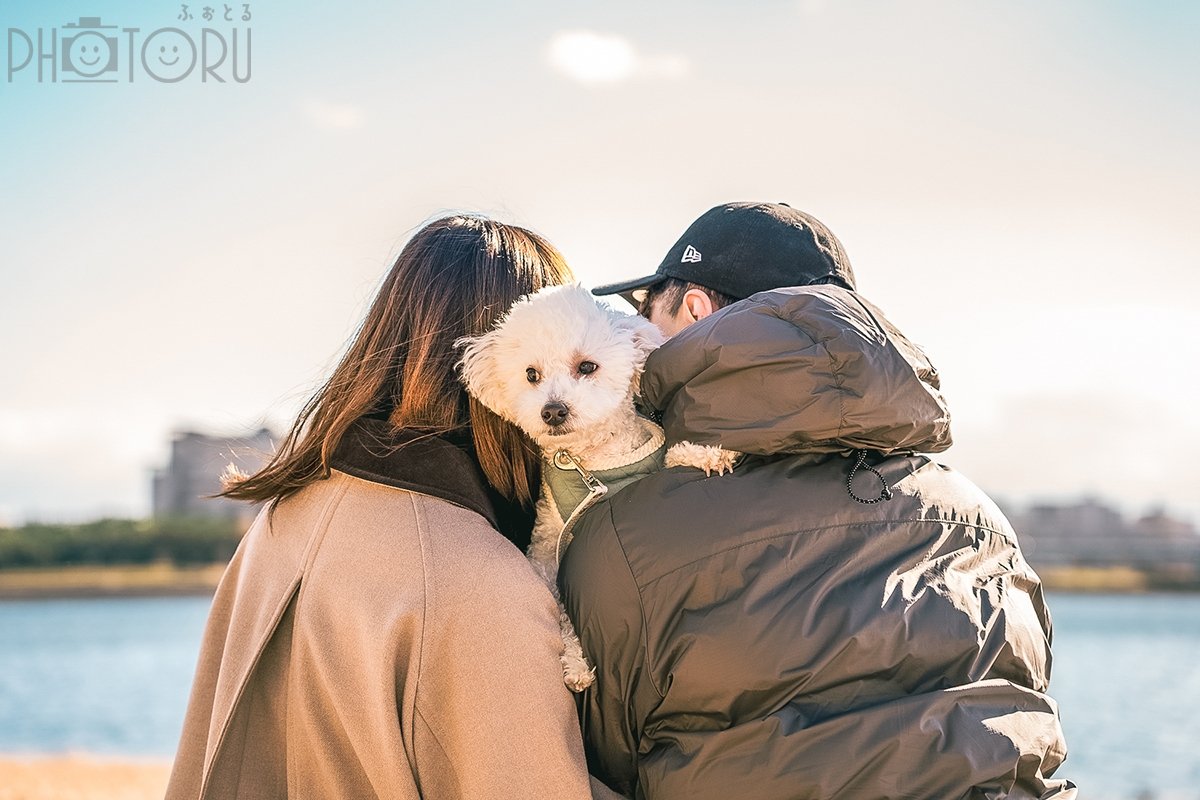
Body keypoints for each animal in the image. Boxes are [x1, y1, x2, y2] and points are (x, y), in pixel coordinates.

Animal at [453, 284, 672, 690]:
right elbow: (558, 602)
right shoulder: (544, 550)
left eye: (587, 367)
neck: (586, 462)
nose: (553, 411)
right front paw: (575, 660)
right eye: (531, 374)